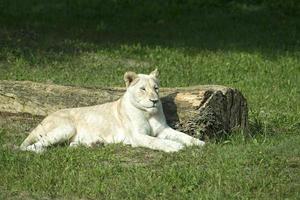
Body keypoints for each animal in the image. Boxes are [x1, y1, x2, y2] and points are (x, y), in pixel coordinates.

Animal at [19, 69, 205, 152]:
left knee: (69, 144)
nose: (154, 101)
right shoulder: (137, 137)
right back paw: (40, 151)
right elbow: (155, 142)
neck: (148, 113)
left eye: (156, 88)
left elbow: (183, 135)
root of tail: (45, 118)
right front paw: (175, 147)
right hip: (65, 128)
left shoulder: (164, 130)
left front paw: (199, 143)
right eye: (143, 89)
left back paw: (94, 143)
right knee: (28, 147)